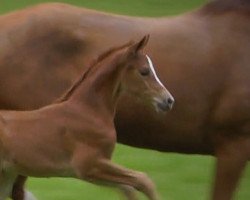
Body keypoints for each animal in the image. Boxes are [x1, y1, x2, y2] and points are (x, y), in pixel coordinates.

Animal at [0, 36, 174, 200]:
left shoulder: (95, 171)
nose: (168, 100)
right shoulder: (89, 165)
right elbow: (143, 180)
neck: (89, 111)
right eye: (144, 71)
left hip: (7, 175)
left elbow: (128, 188)